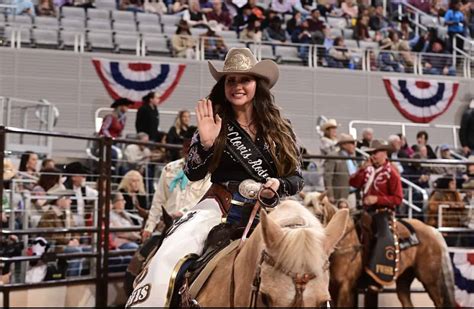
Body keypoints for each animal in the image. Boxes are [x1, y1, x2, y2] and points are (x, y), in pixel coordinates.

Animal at [304, 191, 456, 306]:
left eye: (318, 215)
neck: (346, 240)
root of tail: (432, 230)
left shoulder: (345, 287)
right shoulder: (333, 289)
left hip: (430, 280)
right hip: (404, 281)